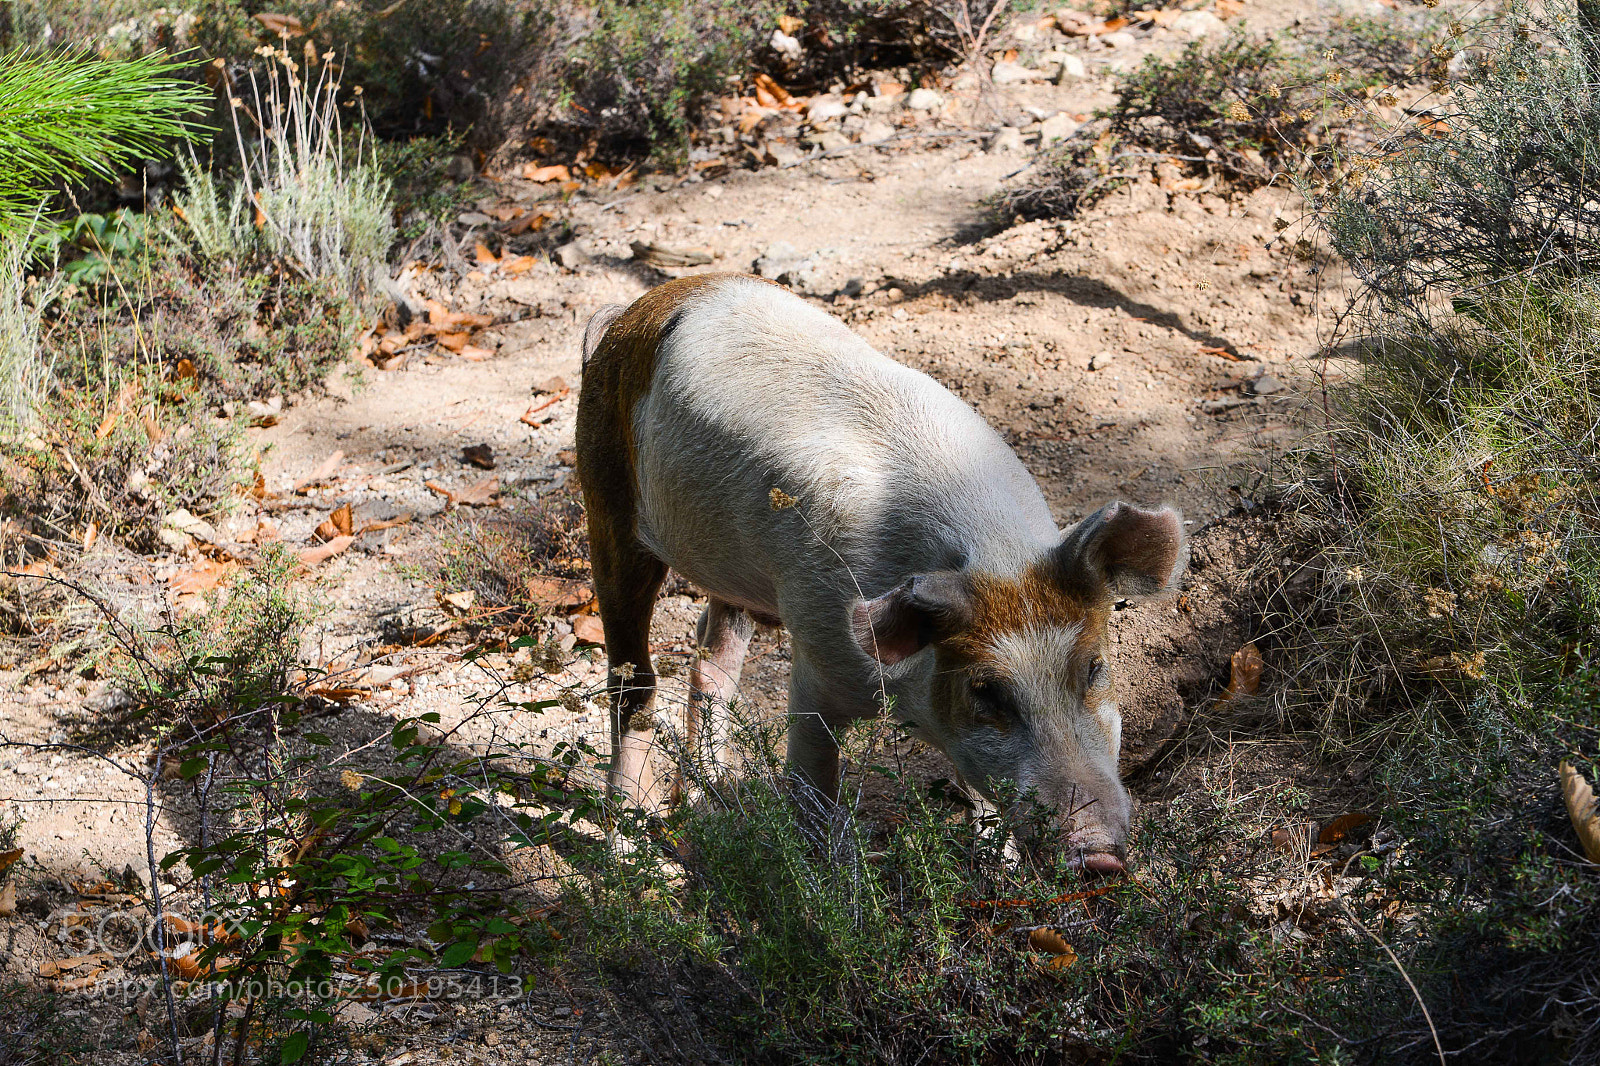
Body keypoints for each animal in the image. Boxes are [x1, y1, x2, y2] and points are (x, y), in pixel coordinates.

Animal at [579, 273, 1190, 870]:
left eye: (1094, 668)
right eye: (985, 689)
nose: (1099, 855)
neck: (992, 551)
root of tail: (634, 313)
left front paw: (1003, 869)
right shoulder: (818, 661)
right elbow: (813, 786)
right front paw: (824, 875)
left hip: (729, 565)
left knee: (712, 652)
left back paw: (716, 801)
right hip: (606, 496)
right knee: (632, 679)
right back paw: (626, 856)